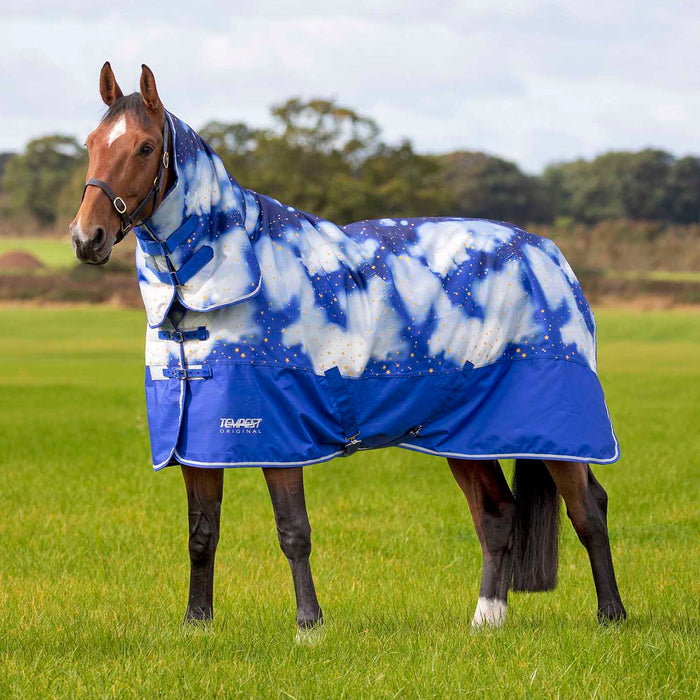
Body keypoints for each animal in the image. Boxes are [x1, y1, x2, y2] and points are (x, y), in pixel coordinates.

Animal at [69, 62, 626, 634]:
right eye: (91, 143)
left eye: (143, 147)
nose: (87, 238)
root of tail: (549, 254)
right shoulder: (197, 443)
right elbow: (202, 534)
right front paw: (196, 623)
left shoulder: (280, 435)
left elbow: (293, 530)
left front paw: (308, 625)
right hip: (467, 436)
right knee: (497, 515)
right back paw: (485, 620)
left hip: (556, 429)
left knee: (589, 509)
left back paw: (611, 615)